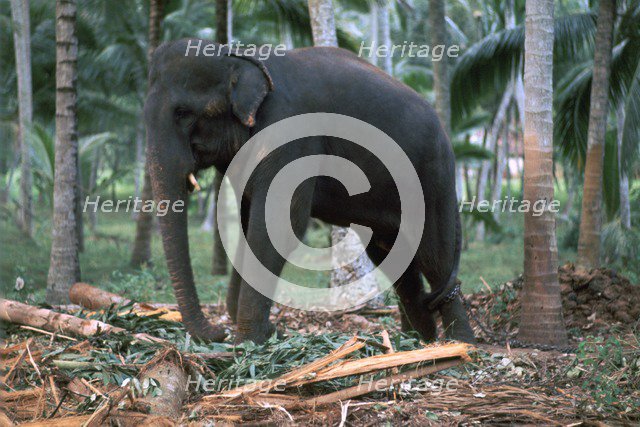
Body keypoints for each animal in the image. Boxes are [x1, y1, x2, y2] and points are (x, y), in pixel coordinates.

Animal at [144, 38, 476, 345]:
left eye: (183, 112)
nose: (218, 333)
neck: (239, 55)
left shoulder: (290, 134)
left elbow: (278, 224)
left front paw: (249, 342)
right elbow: (248, 222)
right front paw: (260, 333)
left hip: (431, 177)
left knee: (434, 255)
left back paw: (460, 344)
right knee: (393, 258)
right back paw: (417, 341)